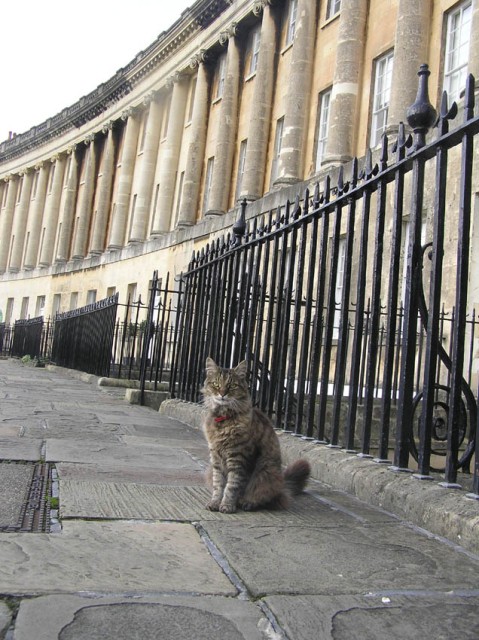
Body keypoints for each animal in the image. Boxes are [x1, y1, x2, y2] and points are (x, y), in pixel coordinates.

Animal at [202, 358, 312, 512]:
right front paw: (215, 503)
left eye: (232, 385)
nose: (222, 394)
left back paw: (248, 503)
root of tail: (283, 484)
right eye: (216, 384)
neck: (224, 419)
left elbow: (232, 486)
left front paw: (228, 505)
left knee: (267, 497)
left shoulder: (238, 458)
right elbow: (218, 485)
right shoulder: (216, 459)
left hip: (265, 473)